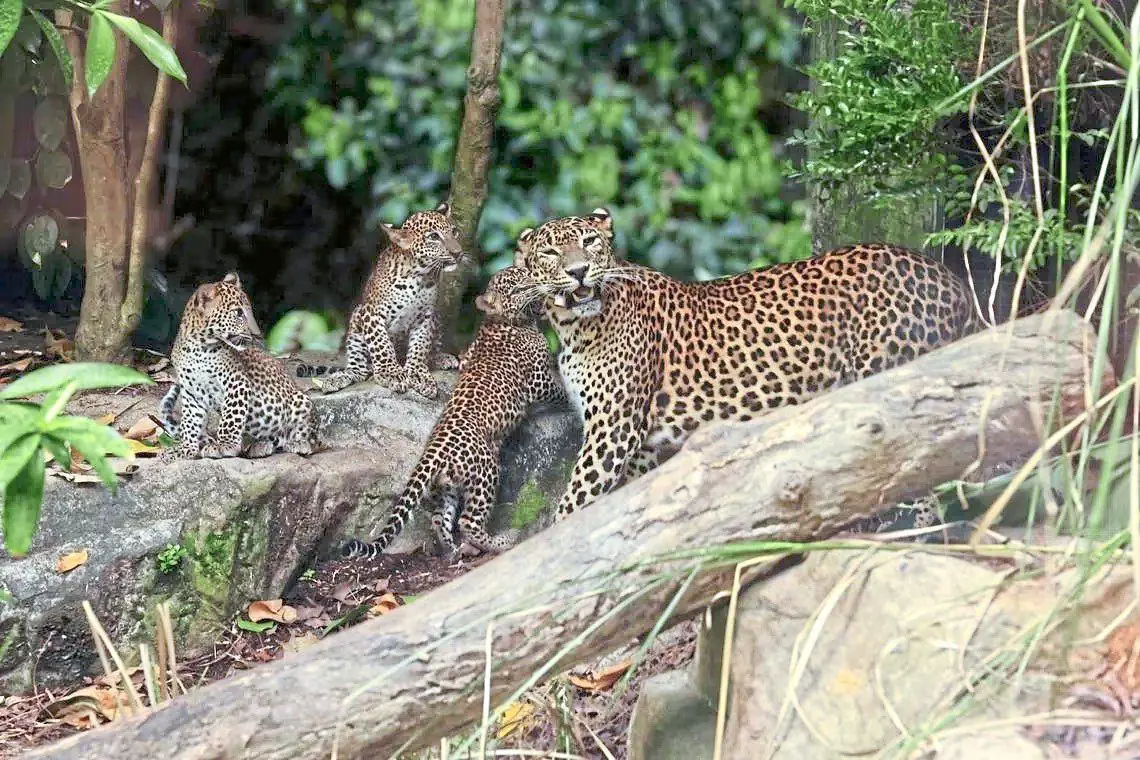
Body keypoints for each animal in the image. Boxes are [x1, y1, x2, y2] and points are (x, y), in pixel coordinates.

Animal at [158, 272, 317, 461]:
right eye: (238, 312)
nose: (257, 334)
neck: (197, 347)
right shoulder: (192, 392)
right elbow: (189, 423)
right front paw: (184, 449)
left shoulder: (237, 382)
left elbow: (230, 416)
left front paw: (224, 445)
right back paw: (260, 445)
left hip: (301, 401)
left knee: (309, 436)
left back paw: (298, 443)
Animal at [303, 202, 465, 400]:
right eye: (434, 237)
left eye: (454, 232)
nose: (458, 253)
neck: (420, 276)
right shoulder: (372, 313)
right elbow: (382, 344)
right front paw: (391, 374)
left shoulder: (425, 316)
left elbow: (420, 345)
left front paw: (418, 373)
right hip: (356, 322)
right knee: (359, 370)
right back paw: (337, 379)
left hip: (437, 318)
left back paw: (441, 358)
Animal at [341, 265, 565, 560]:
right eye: (518, 287)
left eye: (526, 274)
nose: (538, 284)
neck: (502, 321)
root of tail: (434, 451)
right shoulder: (539, 380)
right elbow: (558, 390)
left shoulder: (466, 357)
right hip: (486, 472)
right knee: (468, 521)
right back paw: (501, 542)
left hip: (445, 486)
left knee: (441, 519)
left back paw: (454, 551)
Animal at [512, 207, 978, 523]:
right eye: (550, 251)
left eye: (590, 241)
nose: (578, 271)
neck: (576, 328)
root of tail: (947, 277)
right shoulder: (639, 446)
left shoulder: (612, 431)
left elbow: (573, 506)